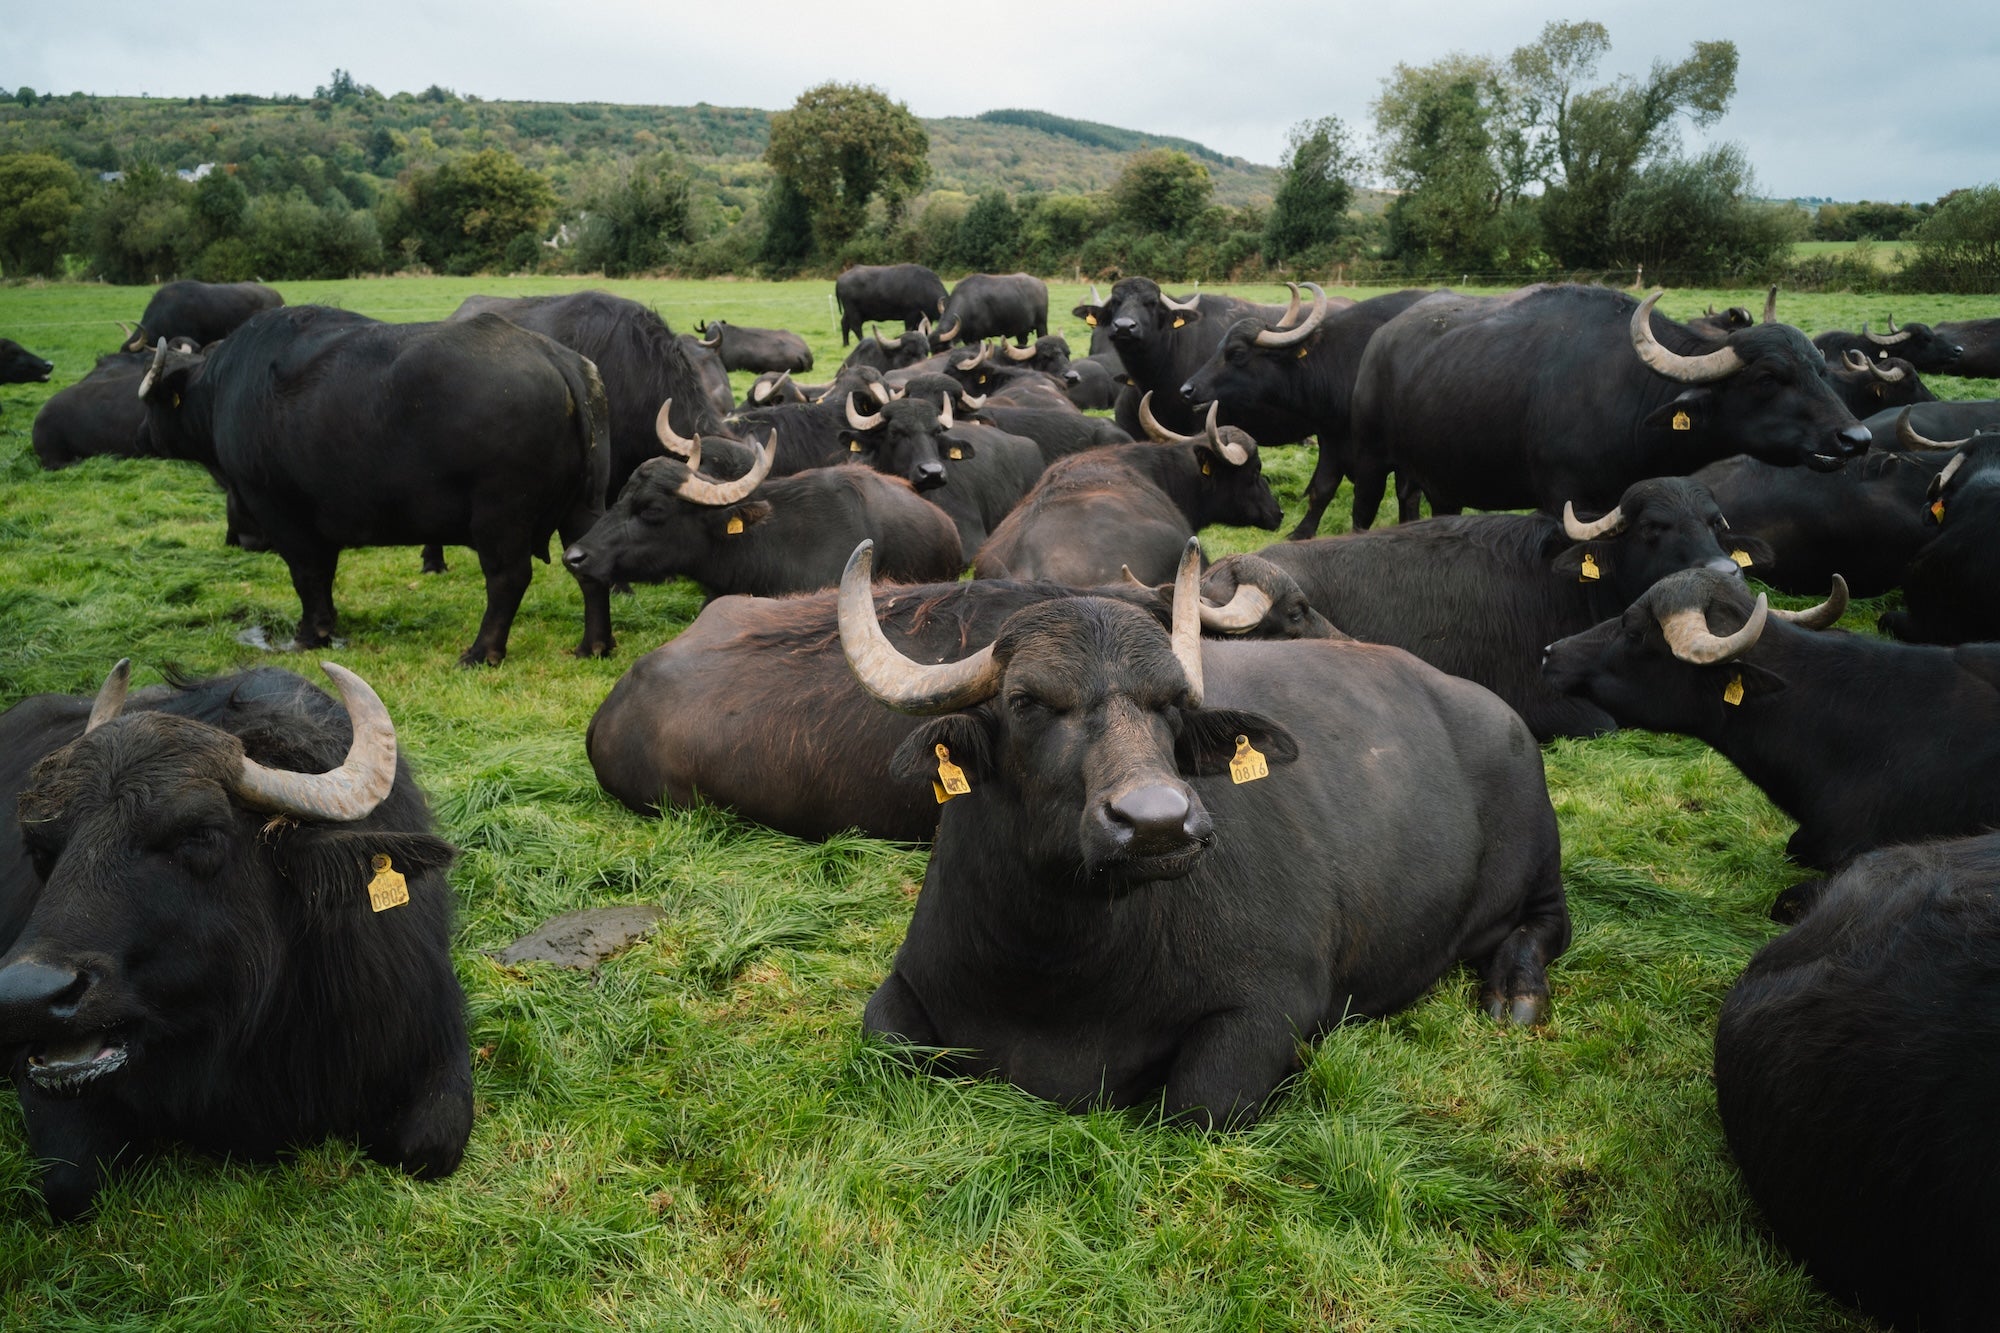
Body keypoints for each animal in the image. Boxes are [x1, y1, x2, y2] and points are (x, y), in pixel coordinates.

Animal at [140, 307, 615, 666]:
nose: (144, 430)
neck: (223, 389)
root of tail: (554, 357)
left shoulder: (283, 516)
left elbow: (307, 576)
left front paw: (310, 634)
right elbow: (324, 576)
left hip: (500, 515)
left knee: (507, 578)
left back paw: (482, 652)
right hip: (584, 508)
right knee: (588, 569)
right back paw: (594, 645)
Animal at [839, 541, 1569, 1125]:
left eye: (1170, 703)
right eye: (1026, 702)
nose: (1158, 822)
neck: (1058, 959)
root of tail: (1499, 713)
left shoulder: (1271, 1005)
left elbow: (1200, 1103)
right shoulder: (912, 983)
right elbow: (883, 1036)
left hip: (1538, 856)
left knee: (1547, 923)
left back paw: (1515, 993)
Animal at [1255, 477, 1772, 739]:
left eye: (1714, 522)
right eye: (1653, 527)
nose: (1725, 572)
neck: (1565, 588)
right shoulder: (1538, 702)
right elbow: (1604, 722)